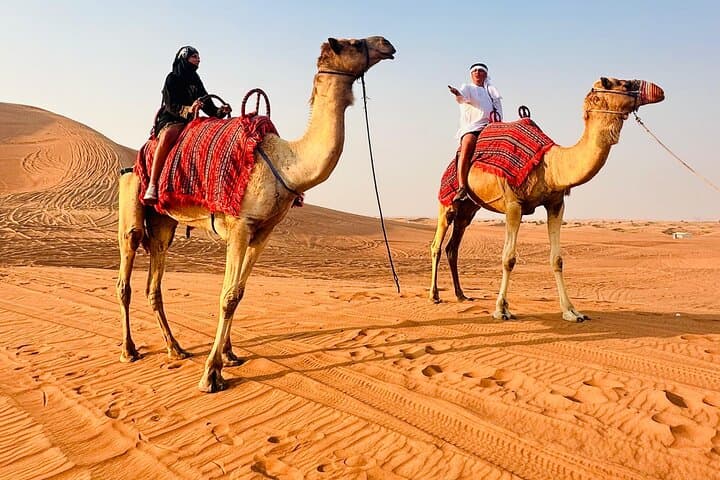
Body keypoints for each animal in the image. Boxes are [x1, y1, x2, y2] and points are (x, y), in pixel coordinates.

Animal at [116, 36, 396, 392]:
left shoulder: (262, 231)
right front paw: (211, 375)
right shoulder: (240, 225)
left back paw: (175, 349)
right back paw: (129, 350)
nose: (387, 44)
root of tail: (134, 161)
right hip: (133, 208)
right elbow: (227, 296)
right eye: (353, 43)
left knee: (155, 285)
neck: (286, 164)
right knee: (126, 276)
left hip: (164, 224)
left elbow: (239, 293)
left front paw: (229, 356)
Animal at [429, 77, 664, 321]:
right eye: (622, 84)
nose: (658, 91)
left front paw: (571, 311)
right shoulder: (513, 204)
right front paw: (501, 309)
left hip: (469, 209)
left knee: (453, 247)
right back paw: (435, 295)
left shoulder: (556, 204)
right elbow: (509, 258)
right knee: (437, 244)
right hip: (447, 203)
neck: (550, 165)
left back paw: (461, 295)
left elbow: (557, 259)